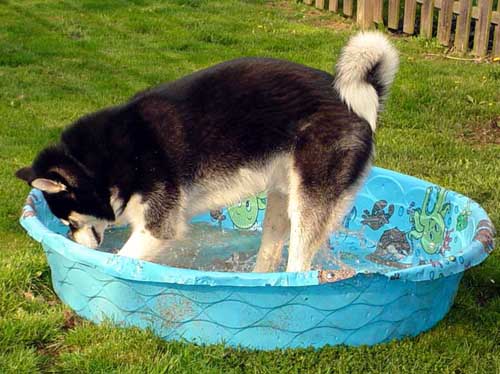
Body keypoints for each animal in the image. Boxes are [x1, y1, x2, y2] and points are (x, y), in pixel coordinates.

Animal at [15, 32, 398, 272]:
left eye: (70, 221)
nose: (71, 246)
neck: (104, 163)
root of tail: (356, 96)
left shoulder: (158, 227)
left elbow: (124, 258)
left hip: (308, 205)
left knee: (298, 266)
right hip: (280, 203)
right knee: (271, 253)